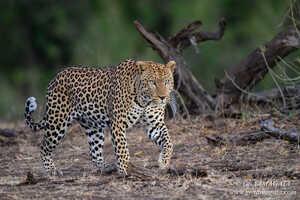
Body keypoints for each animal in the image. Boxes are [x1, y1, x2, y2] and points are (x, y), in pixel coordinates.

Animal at [25, 58, 178, 176]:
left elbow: (169, 142)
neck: (144, 100)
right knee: (43, 146)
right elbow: (122, 149)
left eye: (167, 81)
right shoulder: (118, 124)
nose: (163, 97)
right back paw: (51, 170)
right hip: (57, 121)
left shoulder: (155, 124)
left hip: (92, 126)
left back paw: (106, 168)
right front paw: (125, 169)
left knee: (94, 152)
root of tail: (54, 78)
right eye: (153, 82)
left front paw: (163, 162)